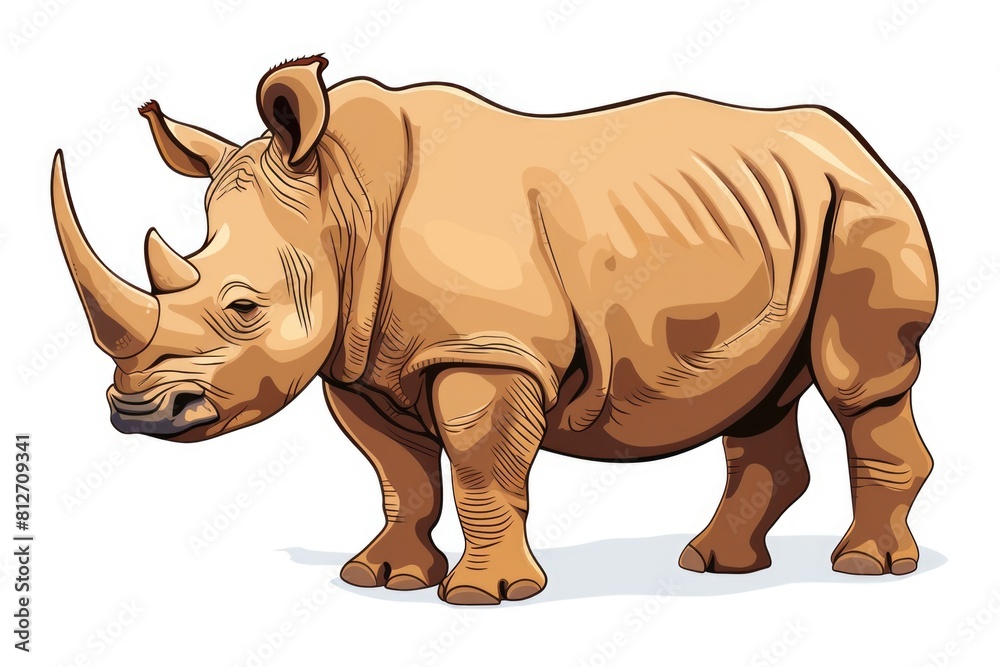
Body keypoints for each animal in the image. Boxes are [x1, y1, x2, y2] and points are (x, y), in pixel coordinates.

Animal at [51, 55, 937, 605]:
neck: (341, 203)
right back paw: (714, 564)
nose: (136, 414)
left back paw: (866, 566)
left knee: (860, 382)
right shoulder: (359, 362)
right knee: (761, 396)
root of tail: (857, 144)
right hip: (783, 210)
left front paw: (485, 596)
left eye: (242, 307)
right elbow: (399, 472)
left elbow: (479, 467)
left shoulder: (489, 351)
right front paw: (381, 578)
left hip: (862, 208)